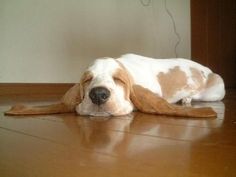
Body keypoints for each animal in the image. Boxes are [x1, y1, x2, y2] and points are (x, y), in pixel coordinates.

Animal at [5, 54, 226, 117]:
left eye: (118, 79)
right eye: (87, 80)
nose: (98, 95)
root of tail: (206, 68)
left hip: (214, 93)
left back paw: (187, 99)